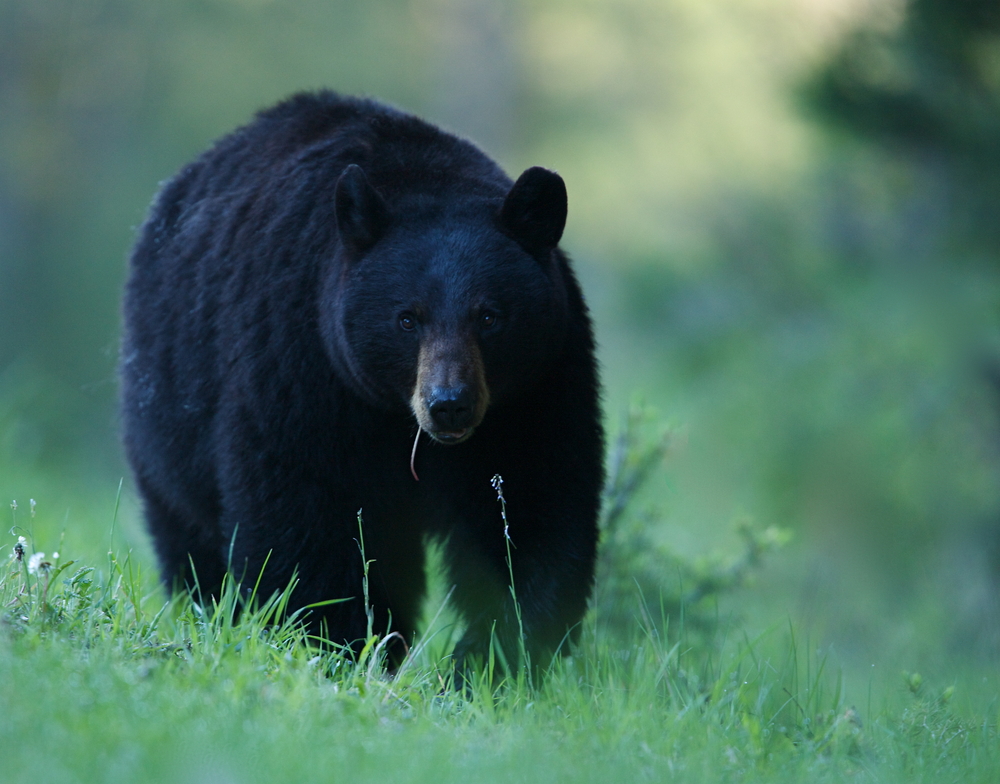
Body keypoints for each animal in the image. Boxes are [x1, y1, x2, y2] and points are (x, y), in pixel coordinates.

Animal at [120, 91, 604, 673]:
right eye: (407, 318)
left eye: (489, 316)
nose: (449, 404)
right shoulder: (300, 364)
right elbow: (305, 511)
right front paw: (338, 643)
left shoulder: (538, 388)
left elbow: (531, 507)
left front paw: (492, 659)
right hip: (168, 405)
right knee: (190, 533)